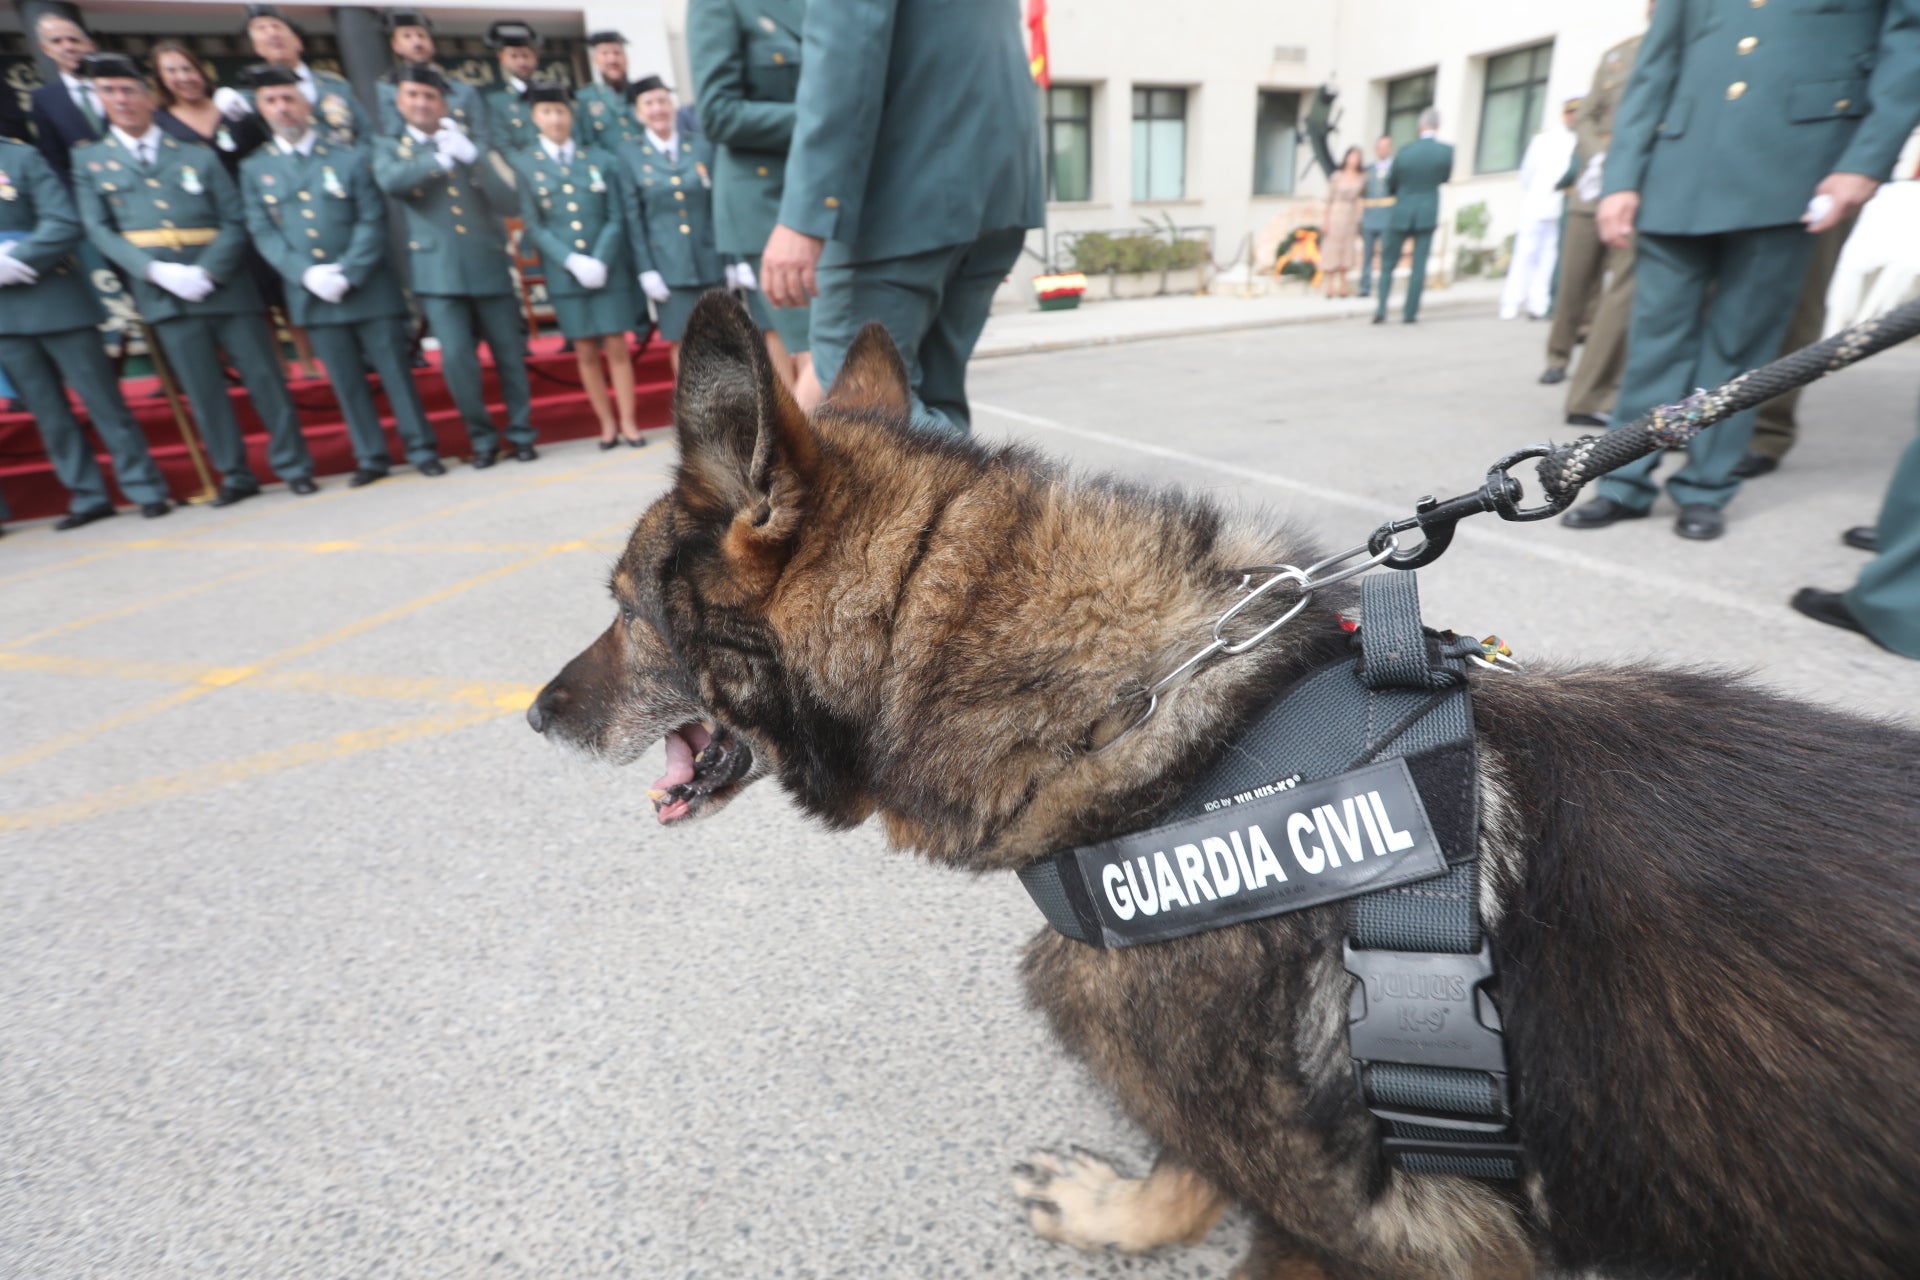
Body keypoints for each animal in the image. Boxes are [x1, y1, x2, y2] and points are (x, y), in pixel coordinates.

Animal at [529, 297, 1920, 1280]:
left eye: (620, 608)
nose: (535, 715)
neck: (1172, 741)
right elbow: (1193, 1161)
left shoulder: (1379, 1234)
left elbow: (1202, 1170)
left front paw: (1118, 1209)